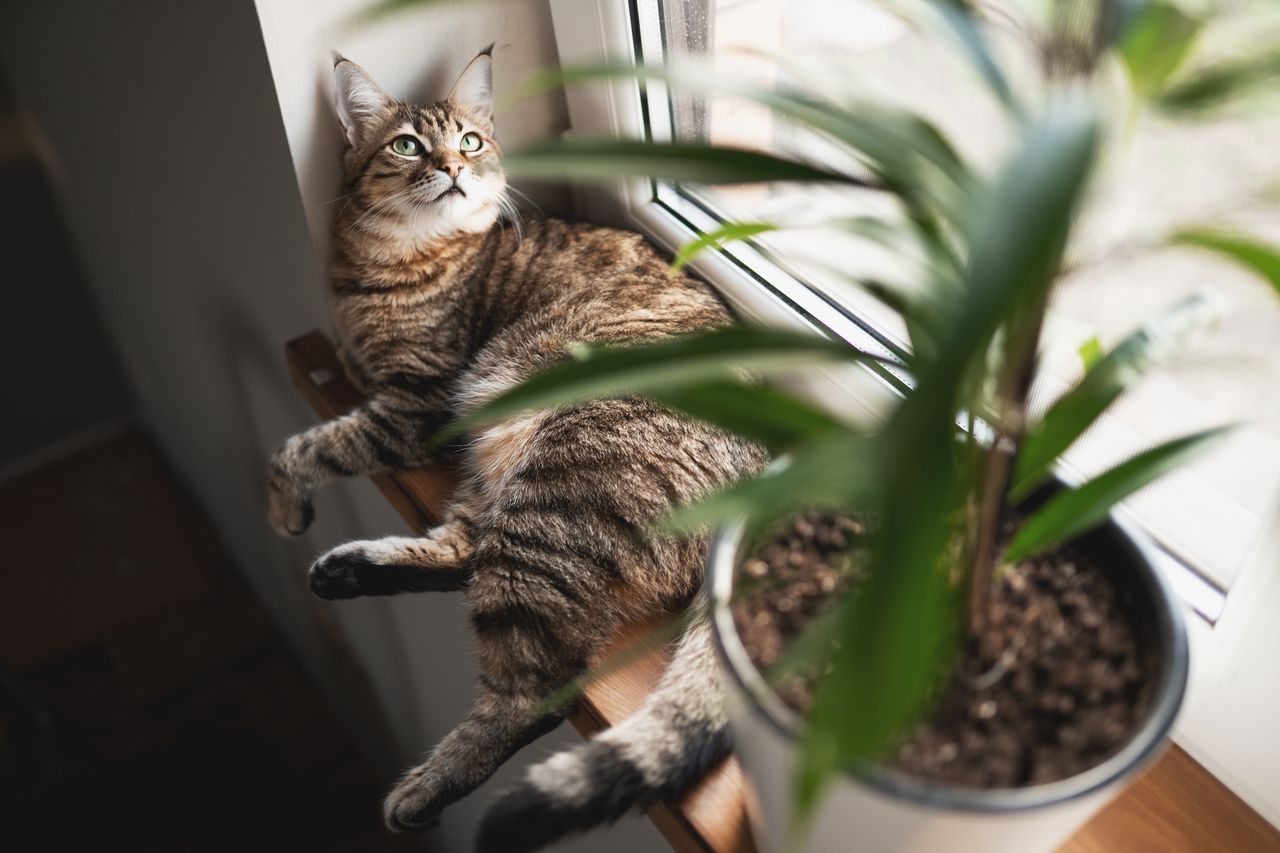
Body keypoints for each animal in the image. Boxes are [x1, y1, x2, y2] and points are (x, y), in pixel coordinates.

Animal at [261, 48, 757, 850]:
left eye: (470, 141)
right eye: (408, 145)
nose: (453, 168)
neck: (388, 262)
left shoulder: (413, 405)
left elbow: (306, 448)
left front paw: (283, 505)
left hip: (558, 488)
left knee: (535, 688)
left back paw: (427, 789)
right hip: (510, 478)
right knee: (465, 555)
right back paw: (347, 570)